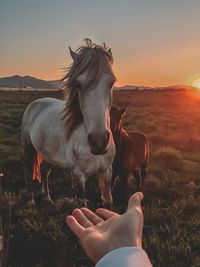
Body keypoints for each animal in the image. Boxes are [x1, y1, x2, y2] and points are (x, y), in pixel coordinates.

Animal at [21, 39, 115, 207]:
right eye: (77, 84)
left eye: (112, 83)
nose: (99, 141)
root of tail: (35, 103)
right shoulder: (78, 176)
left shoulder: (106, 173)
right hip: (28, 148)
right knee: (28, 171)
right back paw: (31, 200)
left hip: (49, 154)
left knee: (44, 170)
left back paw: (47, 197)